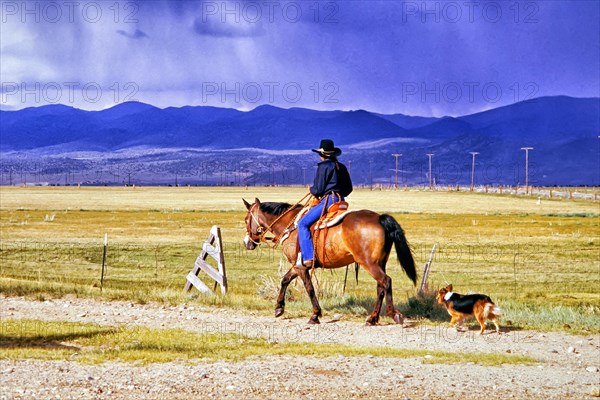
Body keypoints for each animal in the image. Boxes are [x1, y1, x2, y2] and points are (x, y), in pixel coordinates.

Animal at [244, 197, 418, 324]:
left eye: (246, 219)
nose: (247, 242)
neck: (290, 224)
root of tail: (380, 218)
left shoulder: (301, 267)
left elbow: (309, 288)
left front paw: (315, 315)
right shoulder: (297, 265)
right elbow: (285, 280)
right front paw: (279, 308)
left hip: (369, 263)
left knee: (386, 281)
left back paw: (393, 314)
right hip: (380, 263)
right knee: (380, 287)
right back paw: (372, 318)